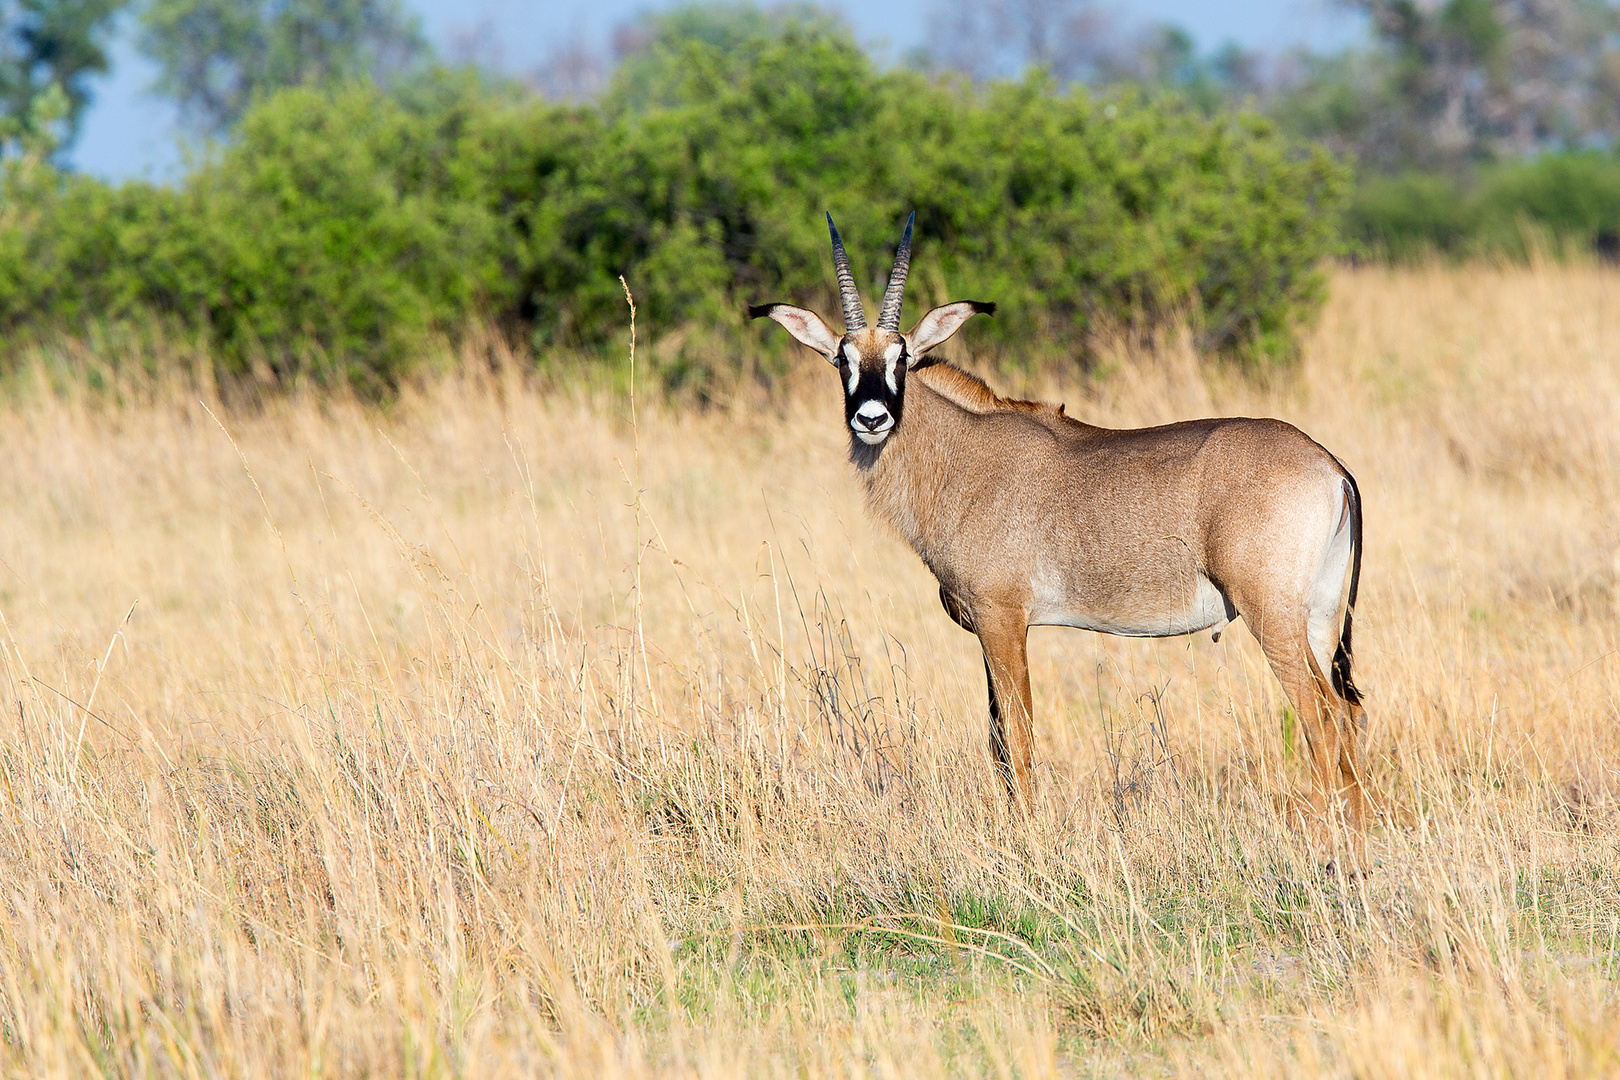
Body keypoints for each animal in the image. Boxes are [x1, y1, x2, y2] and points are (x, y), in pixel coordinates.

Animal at [751, 213, 1373, 854]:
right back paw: (1355, 848)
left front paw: (1026, 840)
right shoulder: (989, 629)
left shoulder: (1002, 619)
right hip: (1320, 619)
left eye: (901, 356)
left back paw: (1326, 850)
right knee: (1348, 716)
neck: (963, 455)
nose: (871, 418)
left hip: (1270, 615)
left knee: (1322, 718)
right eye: (841, 359)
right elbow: (998, 743)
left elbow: (1018, 737)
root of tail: (1329, 467)